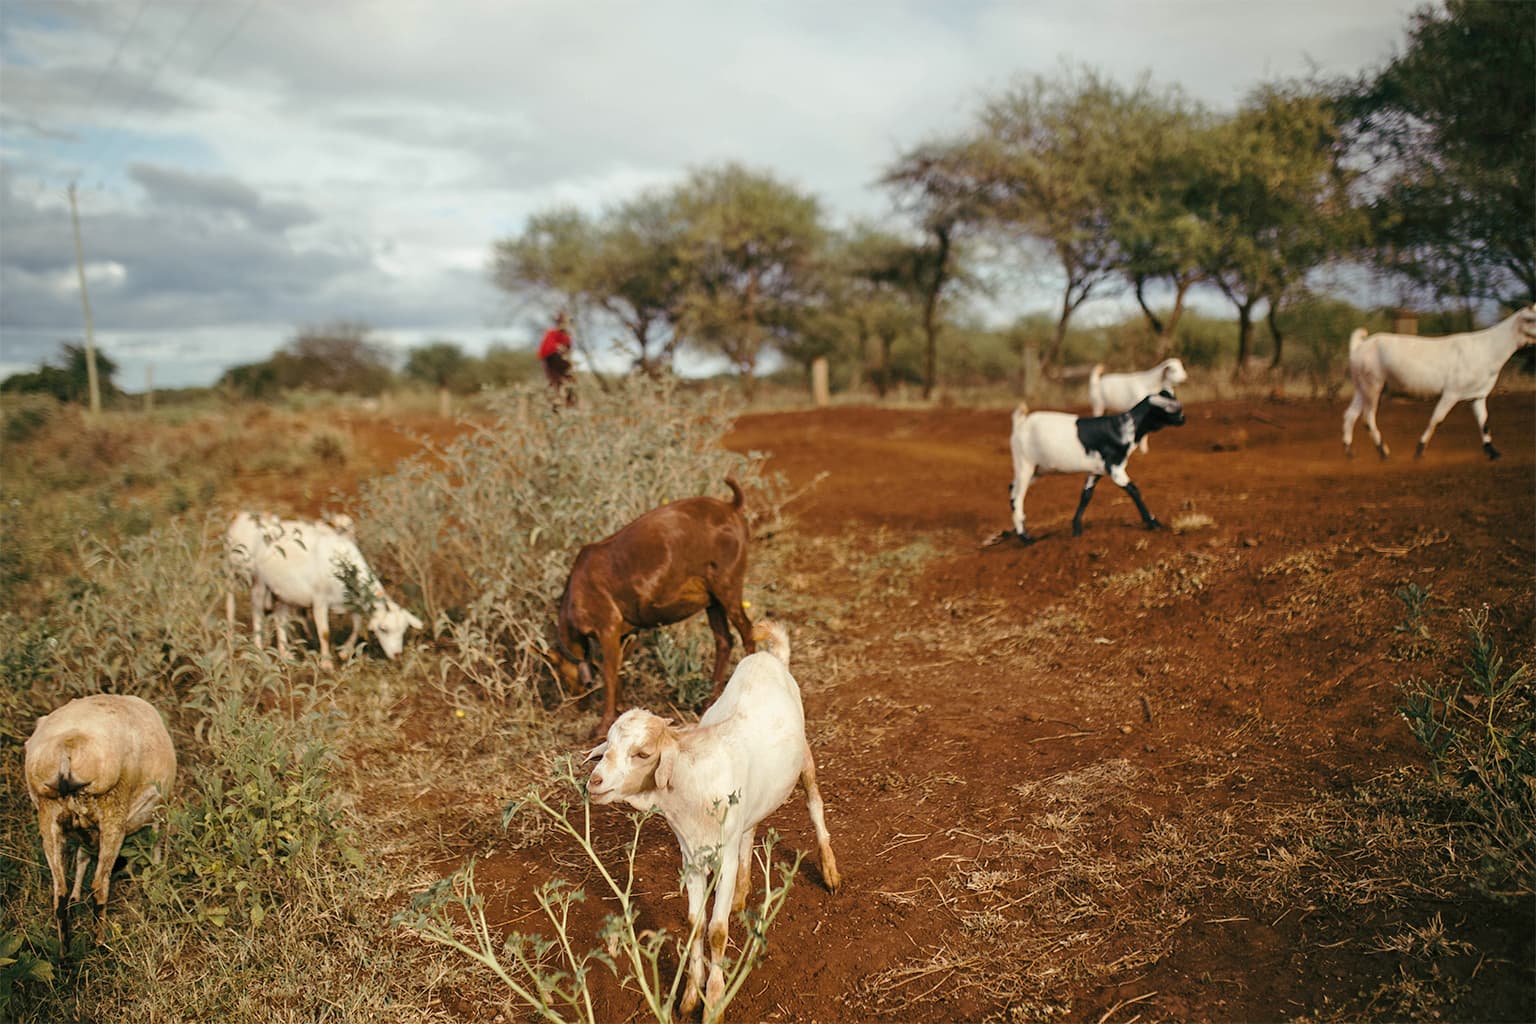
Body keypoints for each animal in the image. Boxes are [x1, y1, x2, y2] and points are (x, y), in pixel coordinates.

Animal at [25, 694, 177, 948]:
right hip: (112, 816)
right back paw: (99, 945)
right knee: (99, 885)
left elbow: (81, 857)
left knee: (59, 894)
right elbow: (157, 840)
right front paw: (157, 873)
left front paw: (76, 895)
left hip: (49, 816)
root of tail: (67, 752)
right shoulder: (159, 807)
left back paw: (66, 951)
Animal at [547, 477, 754, 737]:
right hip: (713, 599)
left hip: (728, 585)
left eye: (562, 676)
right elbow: (619, 668)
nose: (576, 706)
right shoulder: (628, 631)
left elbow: (609, 673)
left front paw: (602, 726)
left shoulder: (608, 626)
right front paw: (621, 709)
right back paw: (710, 700)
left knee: (747, 631)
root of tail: (731, 507)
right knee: (724, 640)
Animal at [585, 620, 839, 1020]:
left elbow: (717, 930)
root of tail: (768, 657)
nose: (595, 782)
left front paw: (714, 1002)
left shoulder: (723, 857)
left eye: (642, 753)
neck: (691, 785)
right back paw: (742, 894)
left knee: (815, 806)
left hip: (805, 760)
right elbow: (695, 923)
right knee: (751, 830)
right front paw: (690, 996)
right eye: (607, 746)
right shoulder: (691, 857)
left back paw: (829, 871)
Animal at [1008, 391, 1186, 543]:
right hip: (1025, 464)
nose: (1183, 419)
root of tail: (1020, 424)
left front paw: (1077, 530)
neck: (1123, 429)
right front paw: (1153, 523)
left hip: (1038, 470)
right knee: (1017, 496)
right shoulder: (1115, 468)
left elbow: (1086, 495)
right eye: (1171, 410)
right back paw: (1025, 537)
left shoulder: (1096, 470)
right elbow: (1133, 490)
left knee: (1012, 488)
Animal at [1342, 305, 1536, 460]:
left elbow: (1484, 422)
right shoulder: (1451, 393)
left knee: (1350, 415)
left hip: (1362, 388)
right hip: (1373, 386)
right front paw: (1419, 450)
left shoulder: (1478, 395)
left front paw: (1493, 452)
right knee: (1368, 418)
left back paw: (1350, 451)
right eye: (1531, 319)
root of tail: (1360, 346)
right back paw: (1383, 451)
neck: (1487, 349)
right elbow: (1436, 419)